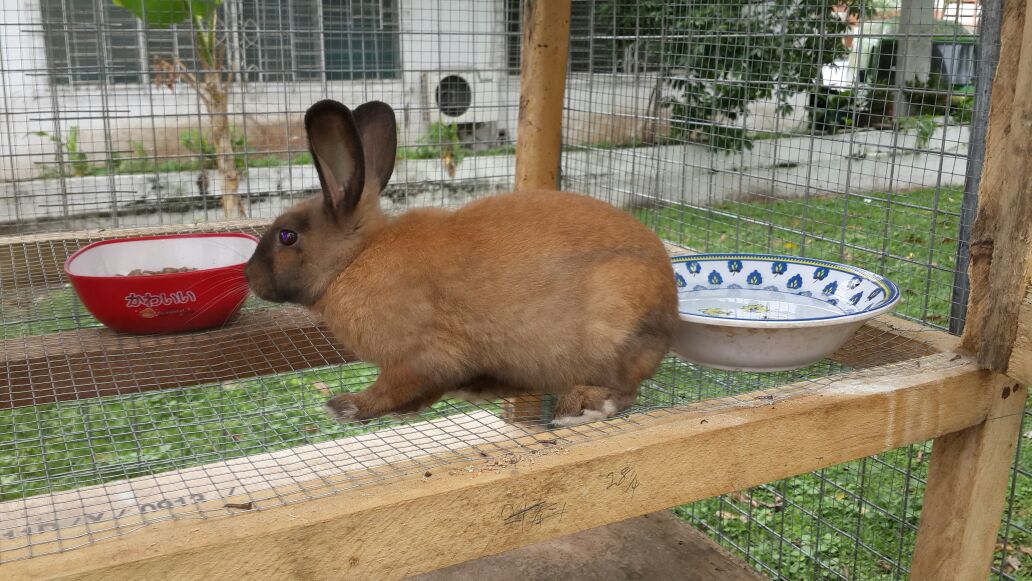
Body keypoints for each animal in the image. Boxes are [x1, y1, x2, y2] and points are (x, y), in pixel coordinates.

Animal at [245, 99, 679, 427]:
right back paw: (477, 389)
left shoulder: (418, 357)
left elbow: (389, 389)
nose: (250, 276)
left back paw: (579, 410)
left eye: (287, 236)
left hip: (608, 331)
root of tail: (668, 315)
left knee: (624, 391)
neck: (354, 260)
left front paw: (345, 406)